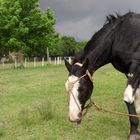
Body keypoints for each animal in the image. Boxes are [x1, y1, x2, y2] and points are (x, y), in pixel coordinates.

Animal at [65, 11, 140, 139]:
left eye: (82, 88)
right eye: (66, 88)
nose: (73, 118)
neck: (119, 35)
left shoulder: (136, 66)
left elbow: (128, 97)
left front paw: (134, 133)